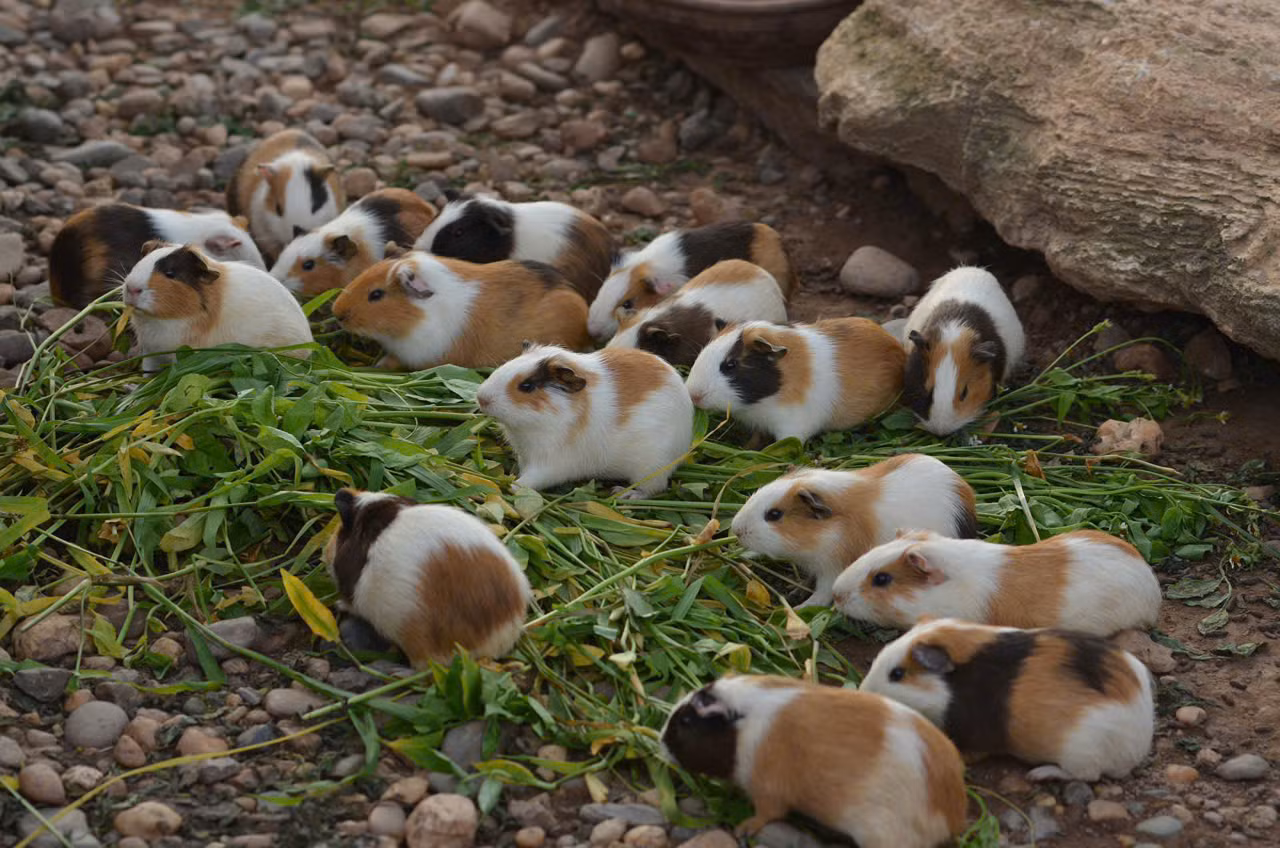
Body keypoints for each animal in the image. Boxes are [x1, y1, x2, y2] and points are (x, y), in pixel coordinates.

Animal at [475, 345, 693, 498]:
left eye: (526, 386)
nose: (481, 397)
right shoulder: (525, 455)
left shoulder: (550, 464)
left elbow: (529, 480)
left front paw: (510, 484)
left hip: (650, 469)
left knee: (652, 489)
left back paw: (622, 494)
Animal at [661, 674, 967, 848]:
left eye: (686, 721)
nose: (661, 744)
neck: (744, 728)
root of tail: (952, 815)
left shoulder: (768, 792)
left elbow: (766, 814)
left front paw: (743, 829)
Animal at [731, 454, 978, 608]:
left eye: (774, 514)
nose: (736, 529)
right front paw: (795, 590)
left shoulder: (832, 568)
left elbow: (822, 594)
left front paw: (801, 608)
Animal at [861, 618, 1155, 780]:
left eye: (897, 674)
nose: (865, 691)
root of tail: (1137, 747)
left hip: (1080, 751)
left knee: (1085, 776)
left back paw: (1039, 774)